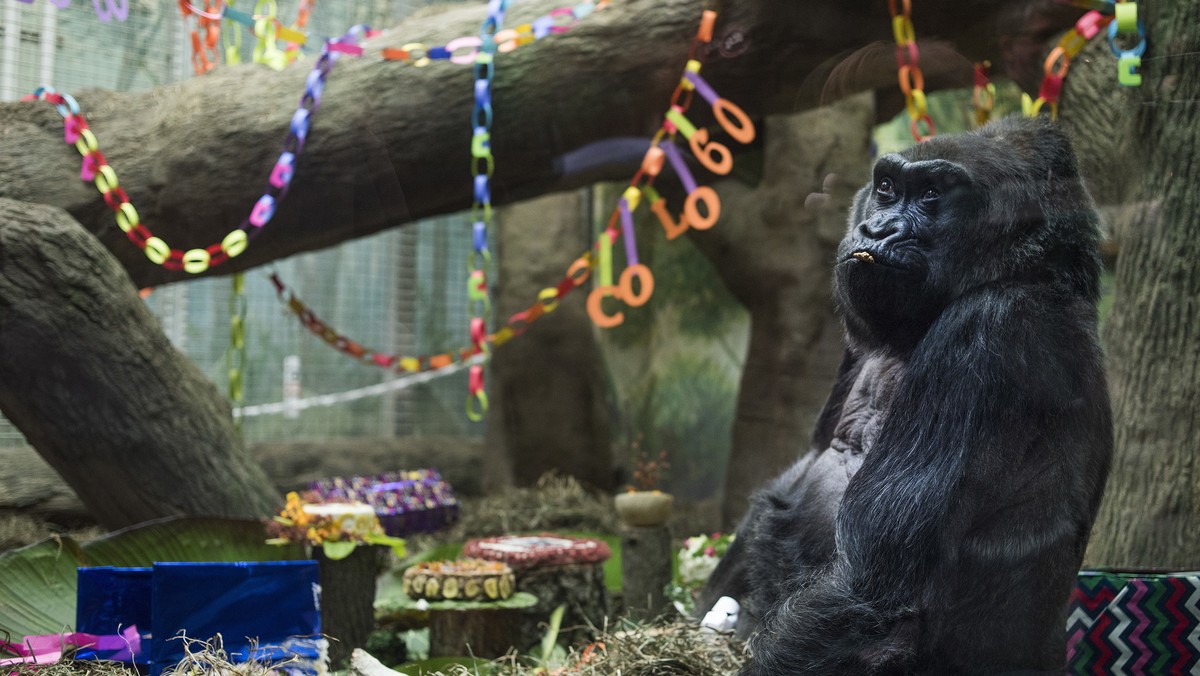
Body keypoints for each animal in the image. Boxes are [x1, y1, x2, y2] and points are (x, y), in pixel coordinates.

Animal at [698, 116, 1112, 674]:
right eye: (887, 188)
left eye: (933, 194)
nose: (877, 230)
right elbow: (794, 478)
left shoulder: (989, 331)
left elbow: (871, 587)